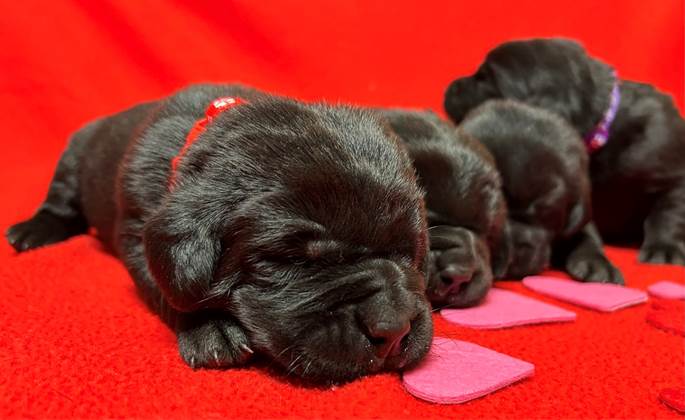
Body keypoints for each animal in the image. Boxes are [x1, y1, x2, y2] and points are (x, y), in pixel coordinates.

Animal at [6, 83, 432, 384]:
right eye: (294, 261)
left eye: (410, 253)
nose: (394, 328)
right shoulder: (138, 226)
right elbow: (169, 283)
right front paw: (210, 329)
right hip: (74, 155)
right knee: (60, 200)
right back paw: (32, 232)